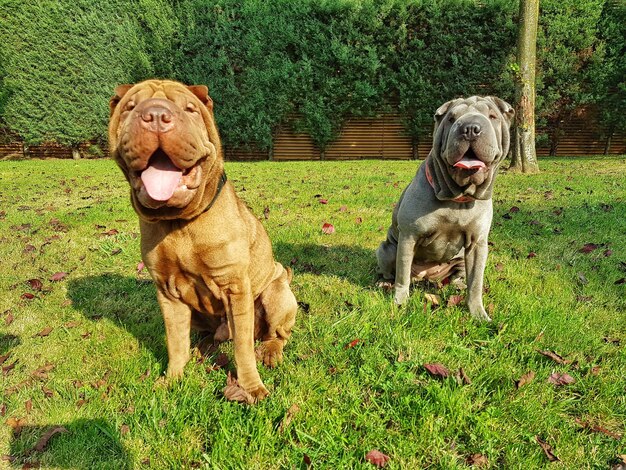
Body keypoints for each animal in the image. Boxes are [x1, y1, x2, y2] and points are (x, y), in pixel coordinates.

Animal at [108, 80, 296, 400]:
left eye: (189, 109)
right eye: (131, 107)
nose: (155, 116)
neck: (179, 222)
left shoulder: (235, 288)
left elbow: (243, 349)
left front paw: (251, 388)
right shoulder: (168, 293)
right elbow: (175, 344)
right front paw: (172, 378)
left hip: (276, 293)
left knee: (277, 334)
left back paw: (270, 352)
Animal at [376, 97, 512, 322]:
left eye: (492, 116)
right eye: (451, 118)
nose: (471, 128)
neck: (456, 197)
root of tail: (427, 278)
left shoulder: (478, 245)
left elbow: (476, 283)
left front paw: (478, 313)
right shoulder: (408, 237)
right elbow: (402, 275)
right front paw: (400, 302)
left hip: (460, 260)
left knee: (459, 276)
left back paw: (458, 285)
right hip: (386, 249)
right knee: (394, 272)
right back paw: (385, 283)